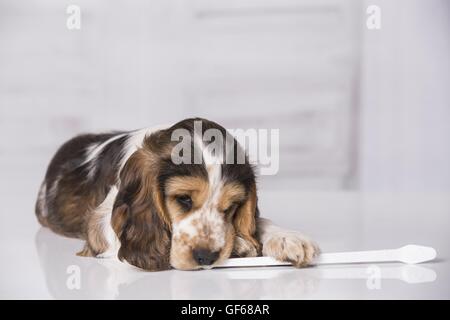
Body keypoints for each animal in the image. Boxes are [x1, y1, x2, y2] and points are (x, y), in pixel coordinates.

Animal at [35, 117, 318, 270]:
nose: (206, 257)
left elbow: (259, 221)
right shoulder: (99, 224)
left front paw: (288, 239)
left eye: (229, 208)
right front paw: (238, 244)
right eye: (183, 199)